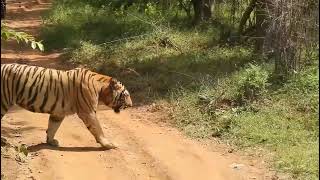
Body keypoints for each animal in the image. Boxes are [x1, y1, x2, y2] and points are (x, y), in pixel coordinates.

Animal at [0, 63, 132, 149]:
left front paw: (51, 141)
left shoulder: (58, 113)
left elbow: (52, 127)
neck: (101, 89)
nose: (131, 105)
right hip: (3, 102)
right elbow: (98, 129)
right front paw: (108, 144)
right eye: (125, 95)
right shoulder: (88, 112)